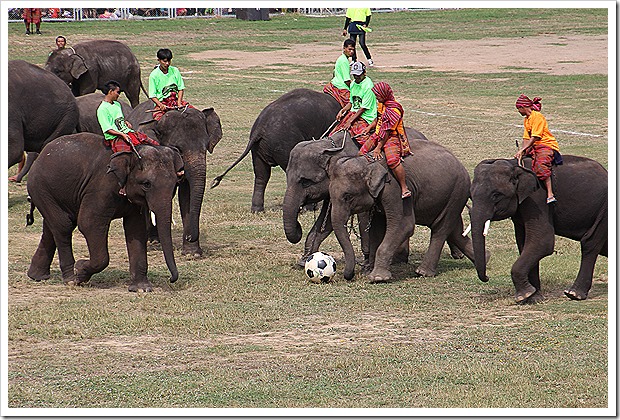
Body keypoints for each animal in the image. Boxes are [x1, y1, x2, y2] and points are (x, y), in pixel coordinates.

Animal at [26, 134, 184, 292]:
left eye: (175, 184)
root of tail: (41, 155)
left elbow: (136, 229)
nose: (171, 279)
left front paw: (141, 289)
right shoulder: (100, 190)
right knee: (63, 226)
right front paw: (80, 270)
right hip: (41, 188)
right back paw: (70, 279)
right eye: (146, 184)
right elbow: (89, 224)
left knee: (52, 227)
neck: (130, 152)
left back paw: (37, 276)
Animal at [126, 99, 223, 256]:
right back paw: (152, 240)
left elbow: (187, 193)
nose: (190, 236)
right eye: (179, 149)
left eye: (205, 148)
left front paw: (192, 253)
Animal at [211, 88, 342, 213]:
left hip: (258, 148)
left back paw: (257, 211)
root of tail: (260, 128)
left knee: (261, 175)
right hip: (284, 143)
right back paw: (306, 208)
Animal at [284, 131, 478, 278]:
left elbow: (381, 223)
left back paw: (424, 268)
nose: (298, 226)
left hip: (455, 190)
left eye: (305, 181)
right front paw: (304, 260)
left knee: (440, 228)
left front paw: (370, 270)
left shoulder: (390, 189)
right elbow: (329, 221)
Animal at [470, 156, 604, 304]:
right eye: (470, 196)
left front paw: (524, 296)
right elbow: (524, 244)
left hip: (604, 209)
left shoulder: (537, 199)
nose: (487, 277)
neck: (513, 164)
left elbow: (542, 241)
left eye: (496, 195)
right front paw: (533, 298)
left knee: (590, 243)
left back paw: (574, 294)